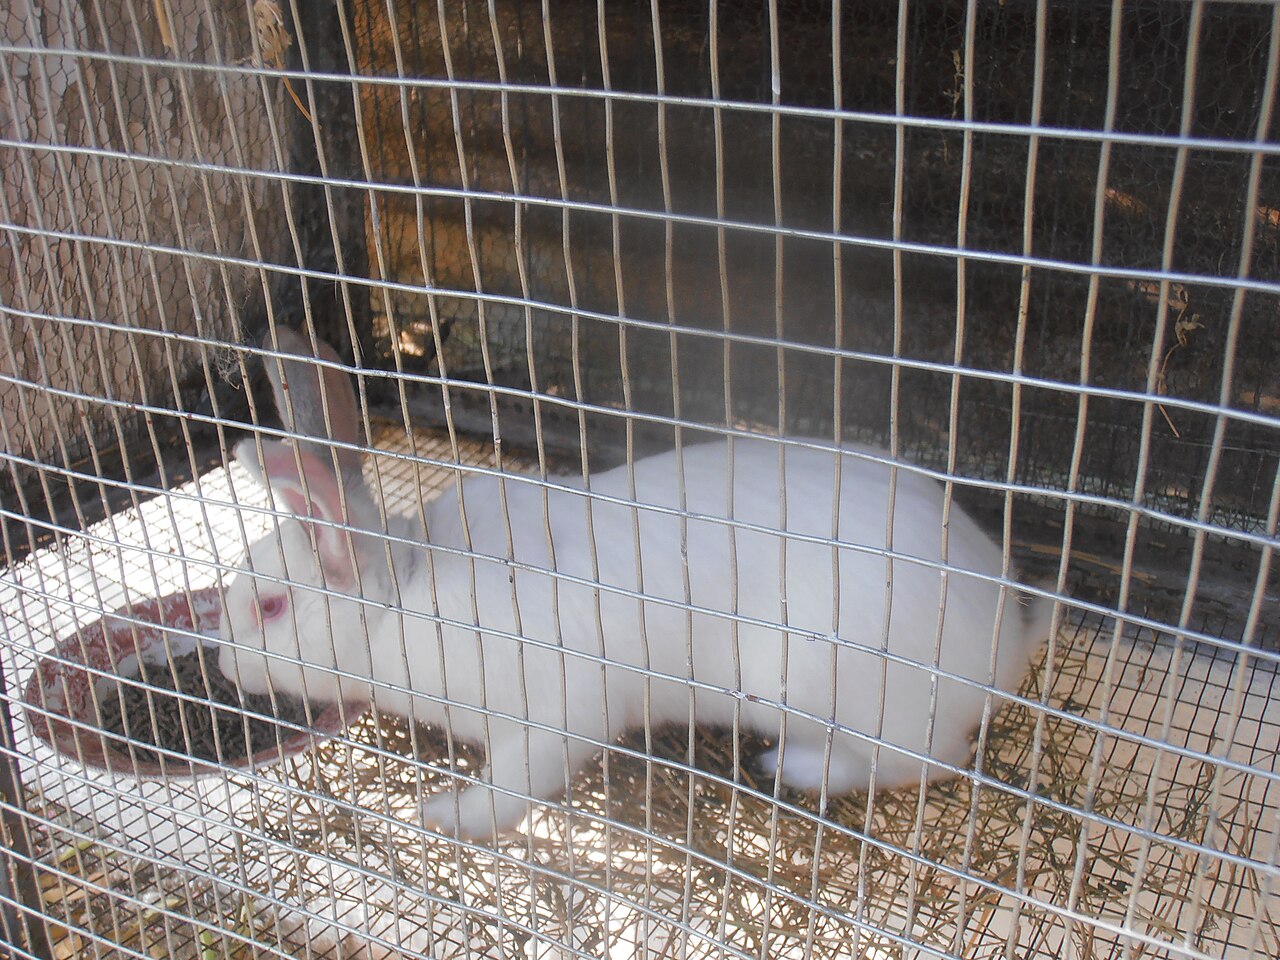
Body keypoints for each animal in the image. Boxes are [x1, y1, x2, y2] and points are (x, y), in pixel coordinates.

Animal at [218, 328, 1052, 840]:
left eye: (270, 605)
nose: (223, 663)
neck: (403, 591)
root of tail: (1004, 640)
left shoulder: (554, 717)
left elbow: (512, 788)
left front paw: (448, 815)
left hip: (836, 694)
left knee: (924, 759)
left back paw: (790, 767)